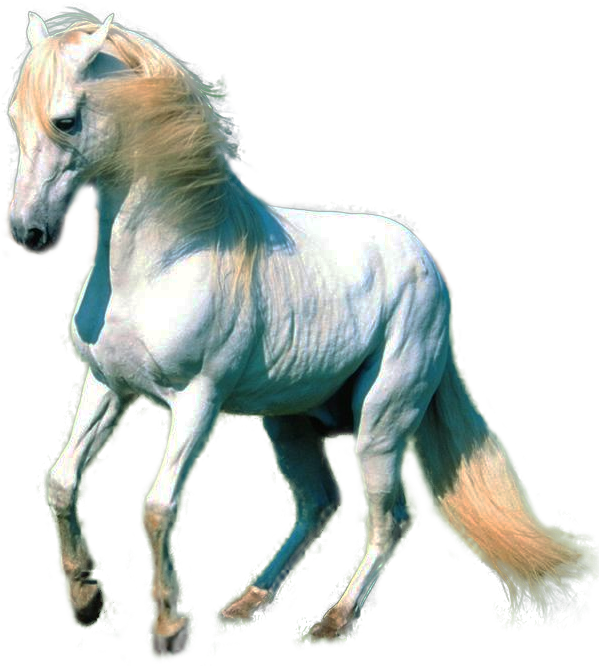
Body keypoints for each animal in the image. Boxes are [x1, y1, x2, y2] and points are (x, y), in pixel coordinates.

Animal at [7, 11, 598, 655]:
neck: (166, 260)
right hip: (288, 423)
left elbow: (159, 506)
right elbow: (62, 481)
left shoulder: (197, 402)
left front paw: (169, 628)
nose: (28, 234)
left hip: (381, 426)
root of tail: (427, 268)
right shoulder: (108, 385)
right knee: (320, 503)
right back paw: (248, 603)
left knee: (388, 519)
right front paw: (85, 599)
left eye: (65, 120)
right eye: (14, 118)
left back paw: (332, 622)